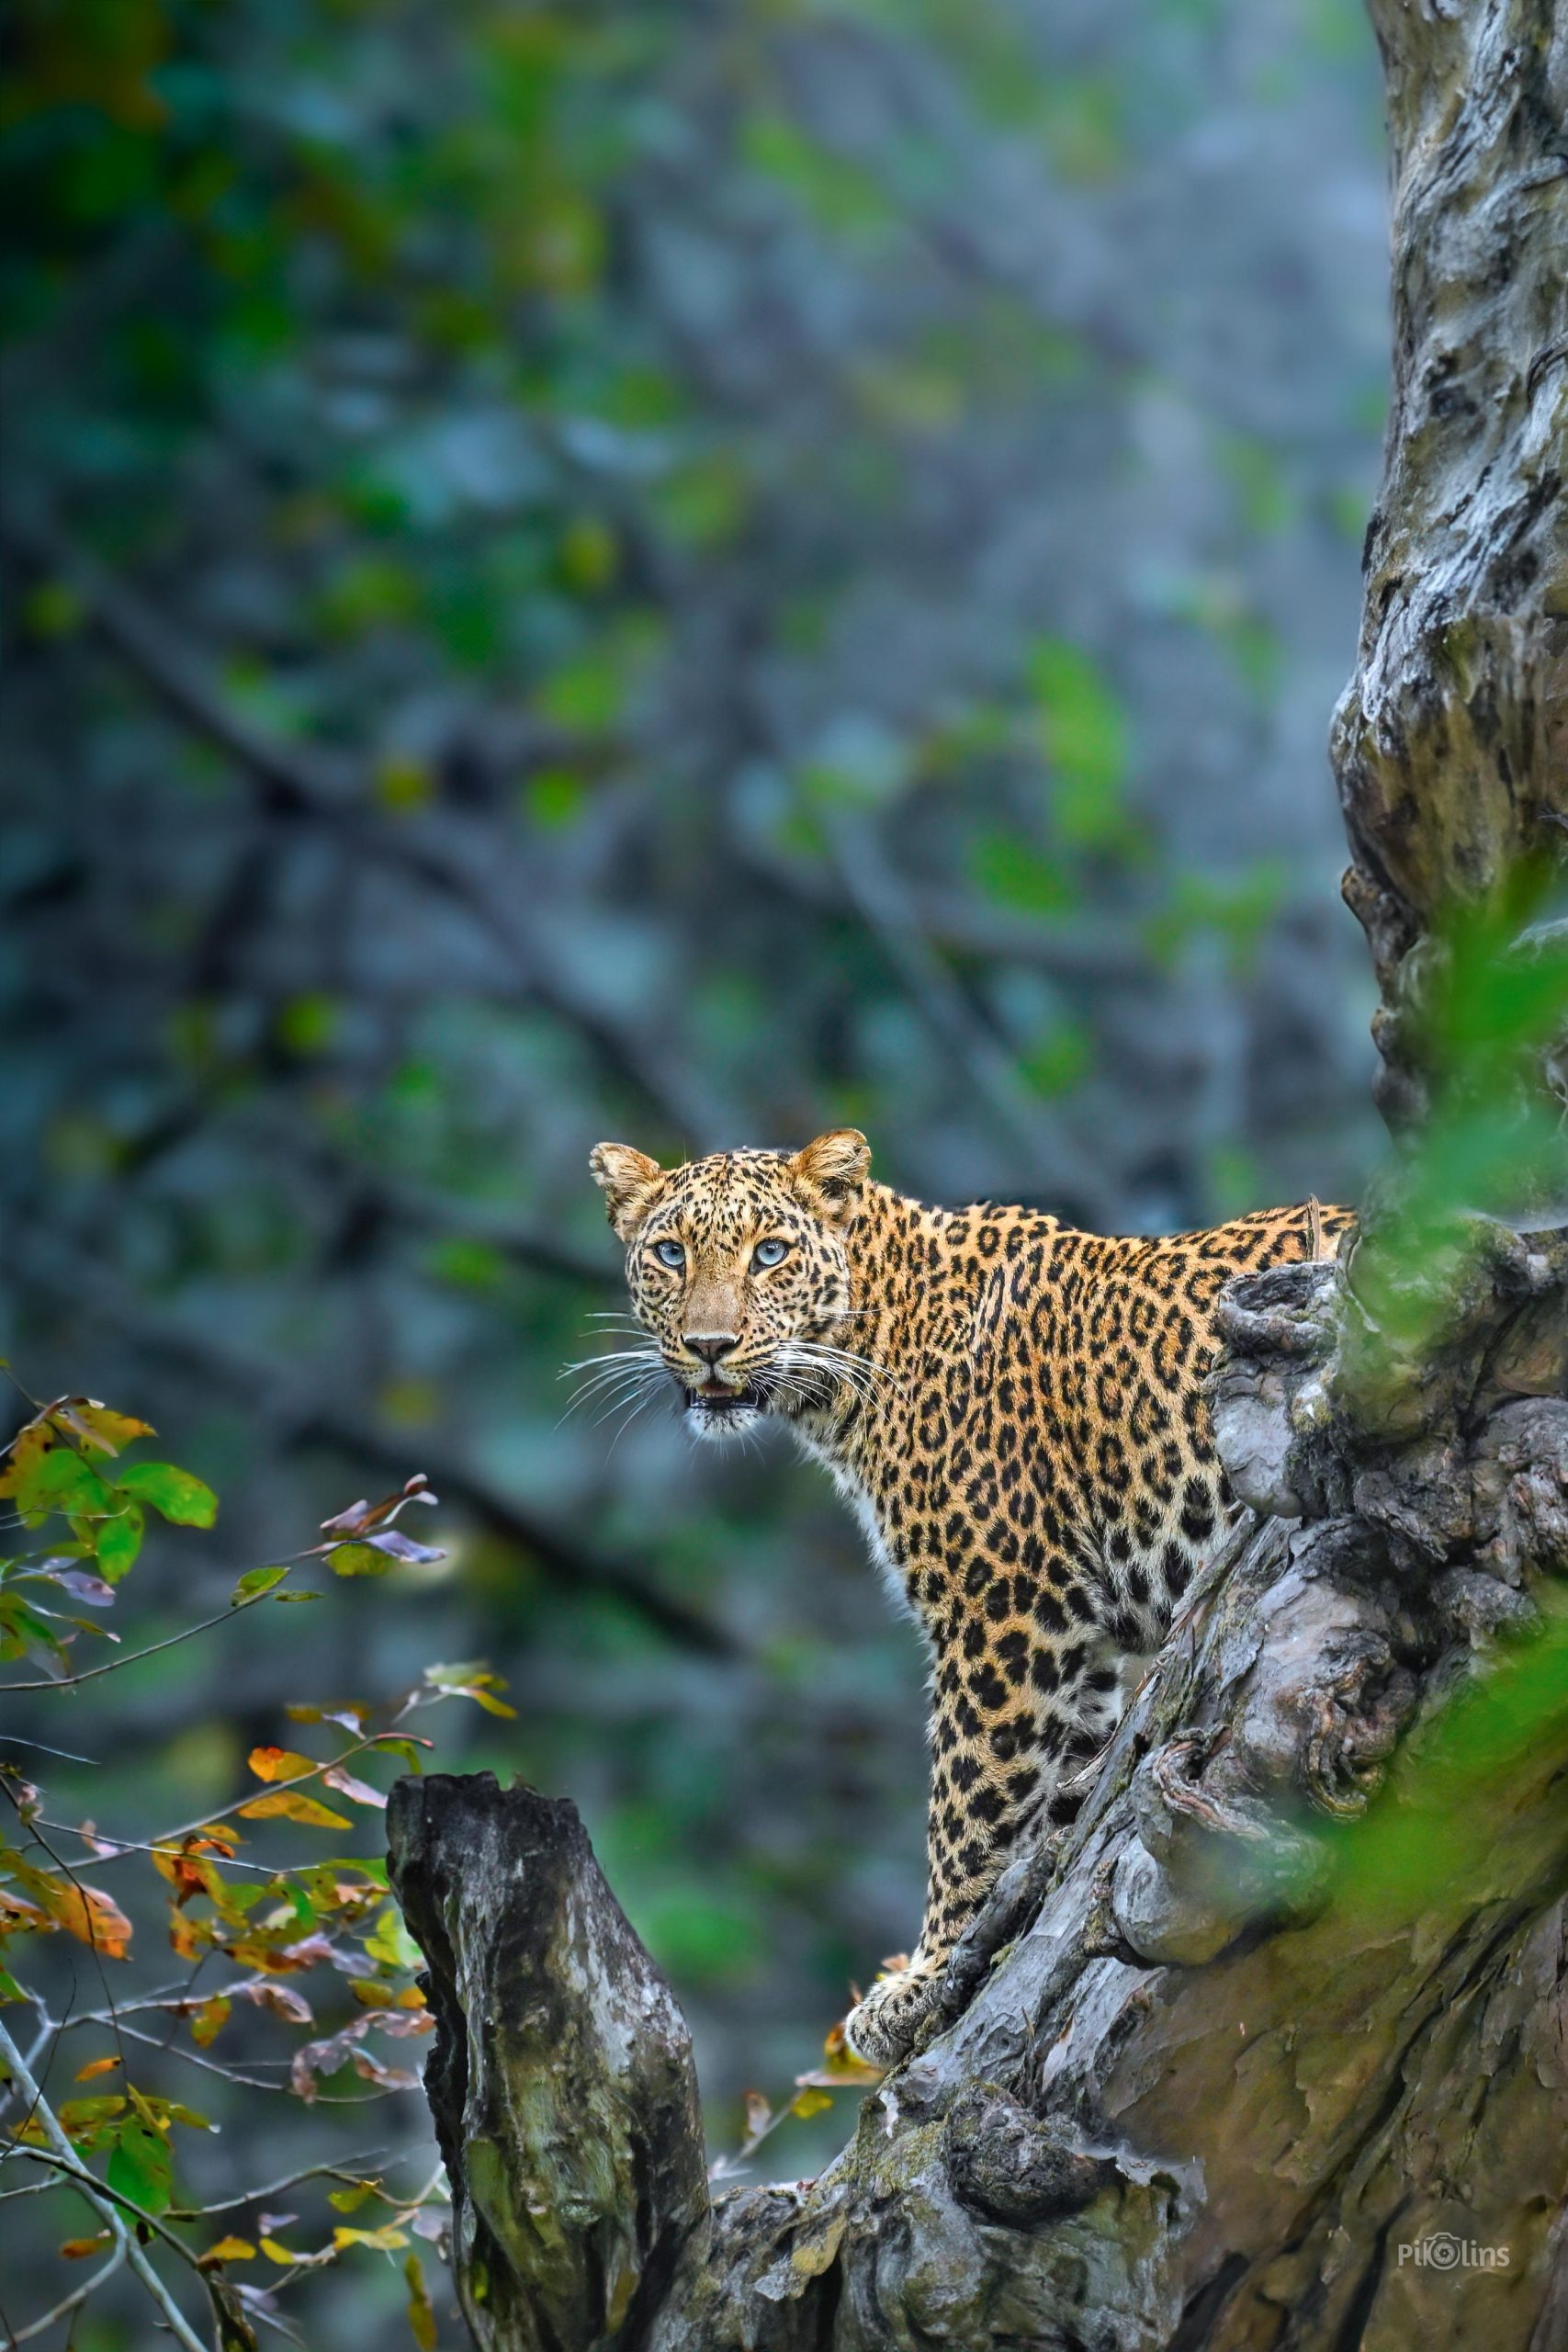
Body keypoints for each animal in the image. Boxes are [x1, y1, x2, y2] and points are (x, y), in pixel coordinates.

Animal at [588, 1128, 1350, 2066]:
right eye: (669, 1253)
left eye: (769, 1254)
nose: (708, 1345)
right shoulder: (1079, 1641)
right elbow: (1048, 1787)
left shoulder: (1003, 1611)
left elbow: (973, 1802)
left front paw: (926, 1981)